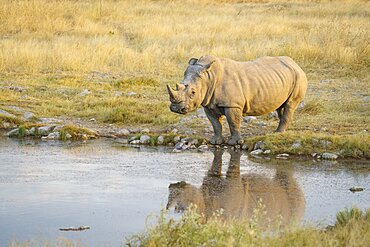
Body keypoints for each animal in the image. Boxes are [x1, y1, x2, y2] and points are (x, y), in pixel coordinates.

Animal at [167, 55, 306, 145]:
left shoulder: (233, 105)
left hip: (298, 77)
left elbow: (233, 122)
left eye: (193, 93)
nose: (175, 108)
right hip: (281, 77)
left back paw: (277, 133)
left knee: (290, 103)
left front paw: (234, 143)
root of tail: (295, 64)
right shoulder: (208, 103)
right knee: (280, 106)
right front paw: (215, 142)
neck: (209, 77)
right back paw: (281, 131)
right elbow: (215, 124)